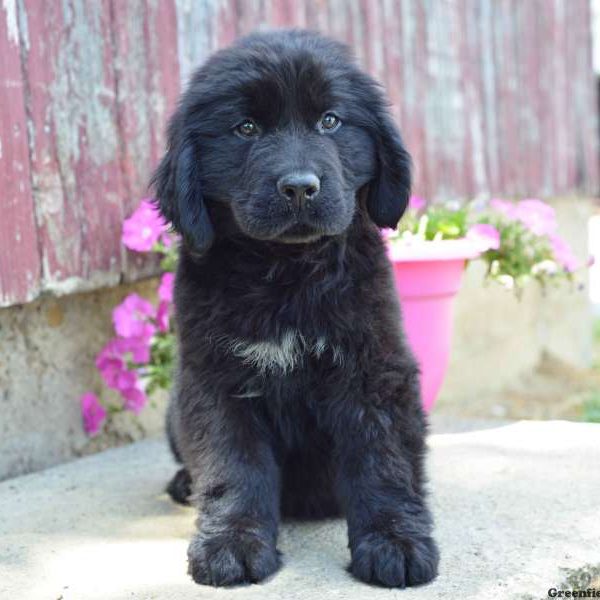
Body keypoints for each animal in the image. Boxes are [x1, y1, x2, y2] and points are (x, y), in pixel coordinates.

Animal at [152, 30, 438, 588]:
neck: (288, 271)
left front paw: (395, 542)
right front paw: (232, 544)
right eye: (245, 128)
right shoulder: (215, 379)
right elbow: (232, 467)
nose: (300, 186)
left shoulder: (374, 368)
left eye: (330, 121)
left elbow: (384, 458)